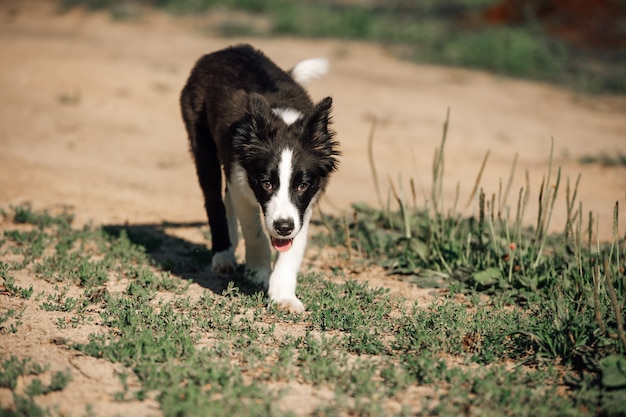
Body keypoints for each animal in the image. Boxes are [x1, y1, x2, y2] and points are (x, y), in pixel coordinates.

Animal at [178, 45, 338, 312]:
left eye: (302, 185)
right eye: (267, 183)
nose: (283, 227)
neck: (283, 120)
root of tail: (227, 50)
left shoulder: (305, 203)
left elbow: (293, 246)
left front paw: (283, 295)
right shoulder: (241, 178)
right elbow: (255, 233)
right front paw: (258, 273)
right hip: (200, 137)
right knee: (214, 199)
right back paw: (223, 253)